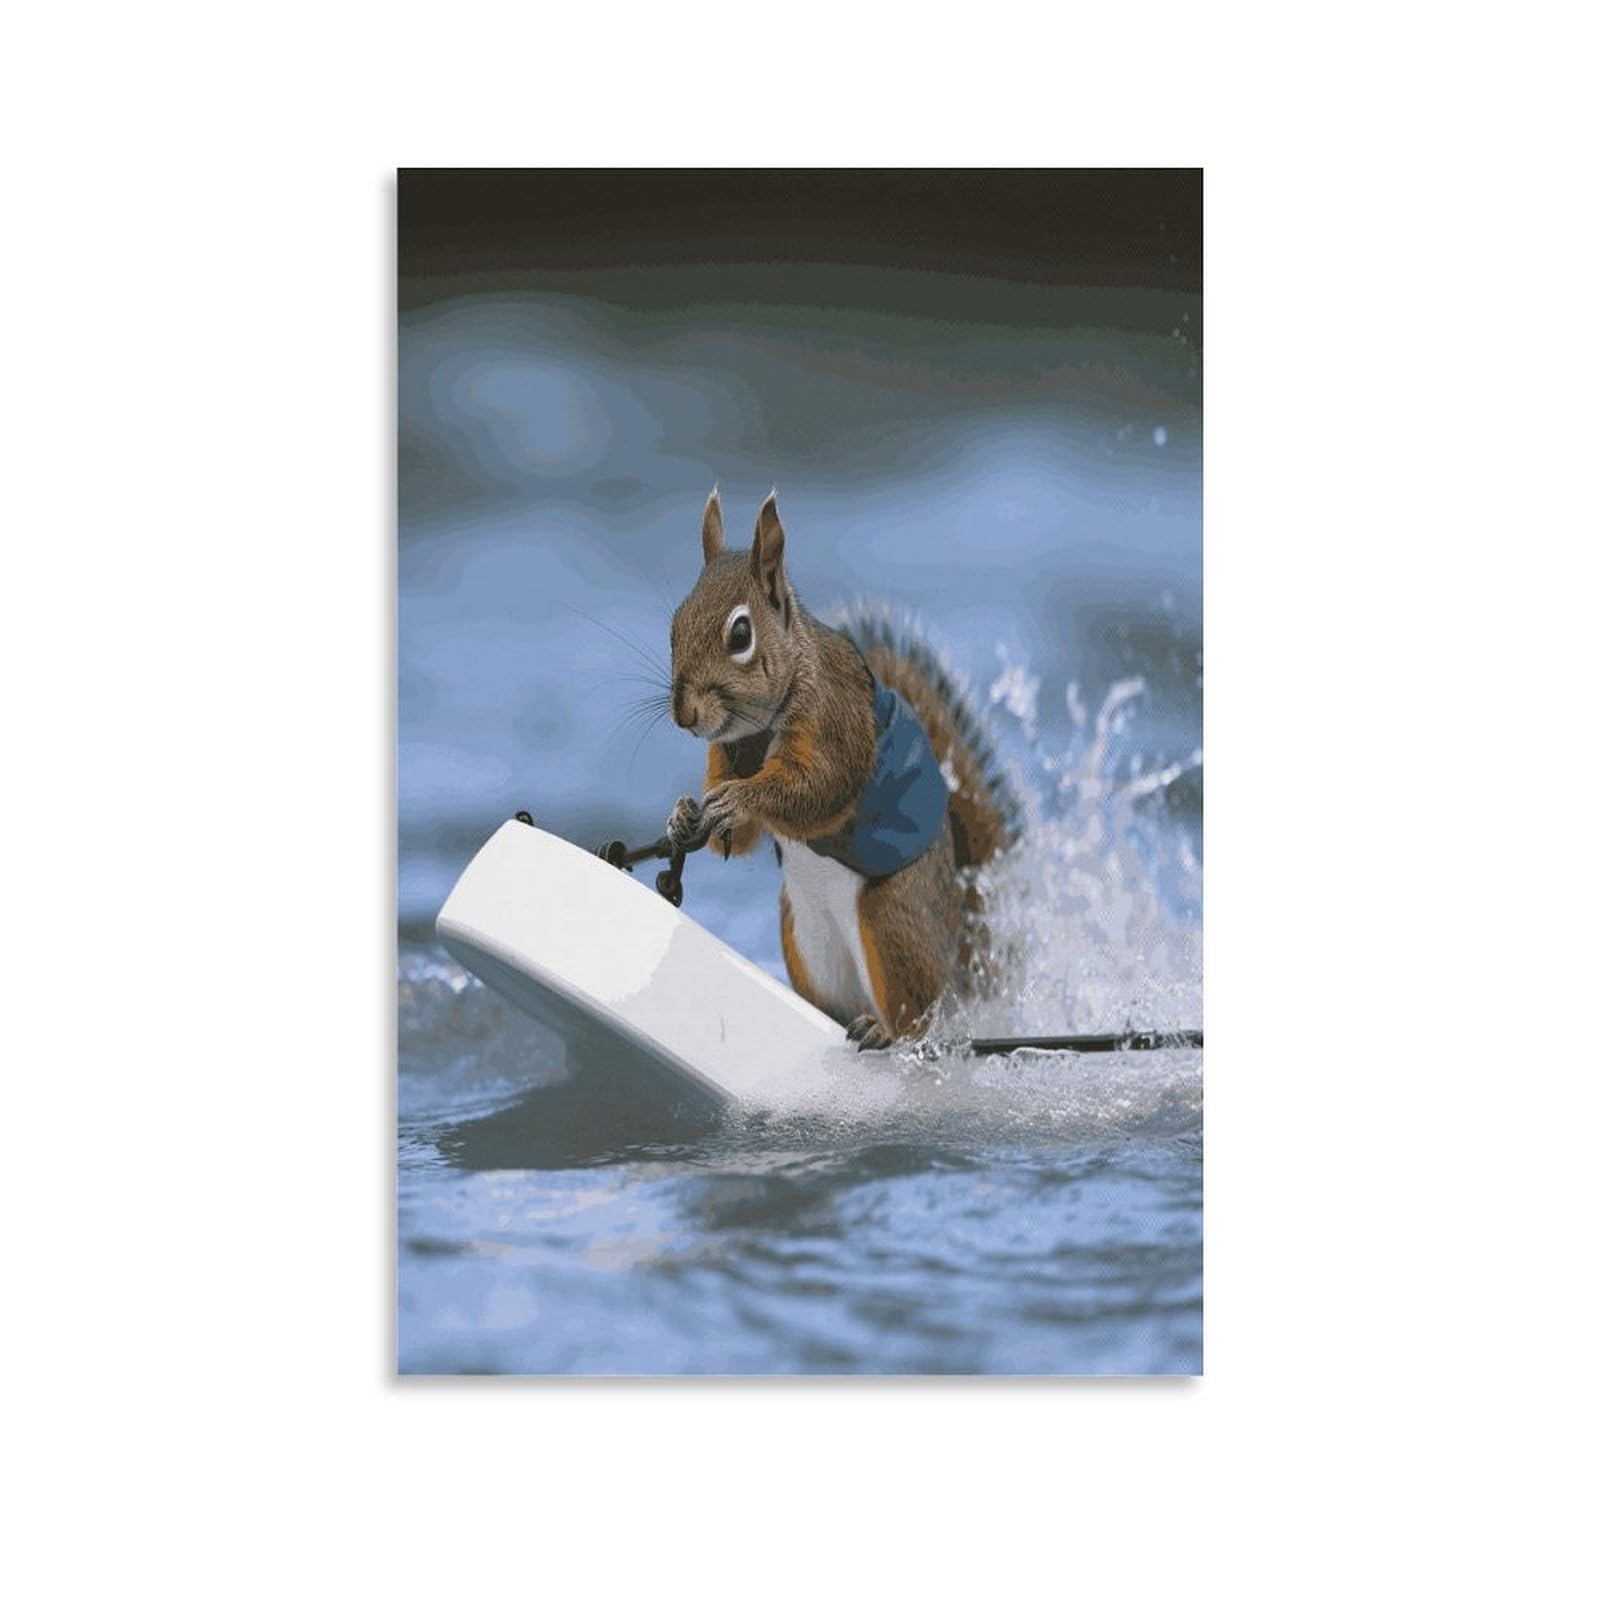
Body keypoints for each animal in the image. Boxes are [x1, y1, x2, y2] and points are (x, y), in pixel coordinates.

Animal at [665, 487, 1021, 1049]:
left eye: (740, 633)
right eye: (674, 625)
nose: (684, 714)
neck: (757, 731)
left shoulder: (838, 722)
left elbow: (819, 790)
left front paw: (740, 799)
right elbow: (738, 839)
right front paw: (683, 814)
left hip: (893, 918)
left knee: (920, 1016)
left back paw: (887, 1032)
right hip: (803, 939)